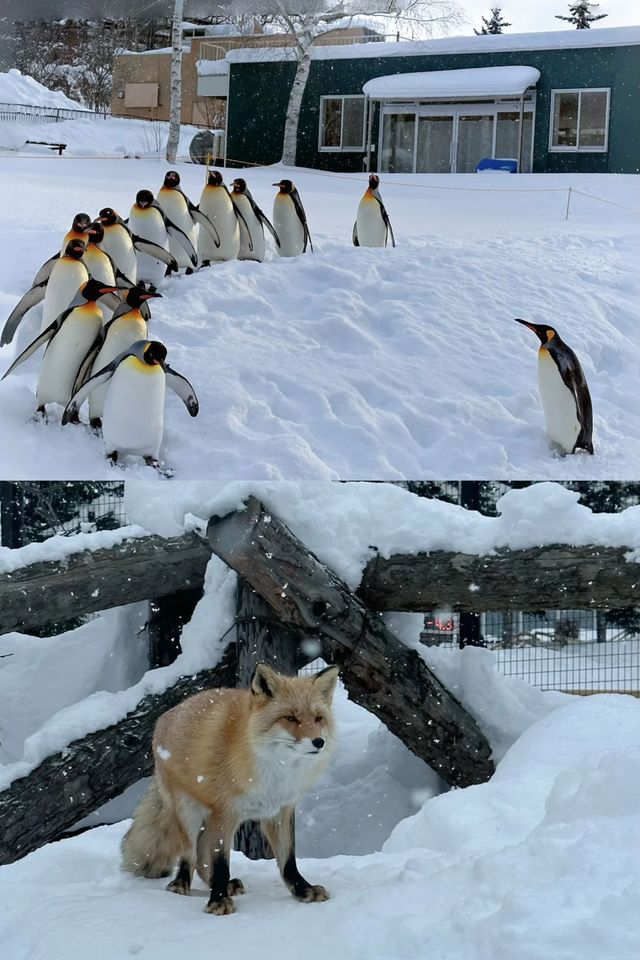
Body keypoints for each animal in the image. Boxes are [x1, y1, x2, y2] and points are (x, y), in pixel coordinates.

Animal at [120, 660, 340, 916]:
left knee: (202, 857)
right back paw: (181, 883)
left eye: (318, 718)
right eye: (290, 718)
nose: (318, 742)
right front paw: (218, 900)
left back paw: (224, 885)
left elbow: (288, 861)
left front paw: (303, 890)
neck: (274, 773)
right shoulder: (225, 812)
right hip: (189, 813)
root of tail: (165, 716)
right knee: (190, 855)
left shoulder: (280, 811)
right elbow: (221, 863)